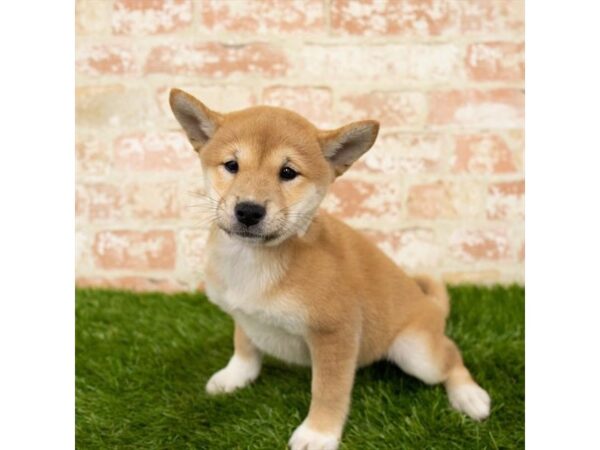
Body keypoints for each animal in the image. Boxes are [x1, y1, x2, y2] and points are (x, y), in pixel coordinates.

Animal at [168, 89, 488, 450]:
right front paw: (235, 375)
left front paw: (318, 432)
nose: (248, 210)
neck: (253, 261)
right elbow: (245, 347)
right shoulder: (243, 315)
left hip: (416, 352)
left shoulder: (336, 332)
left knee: (451, 356)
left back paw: (469, 395)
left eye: (288, 172)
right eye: (232, 165)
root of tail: (430, 306)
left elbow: (328, 390)